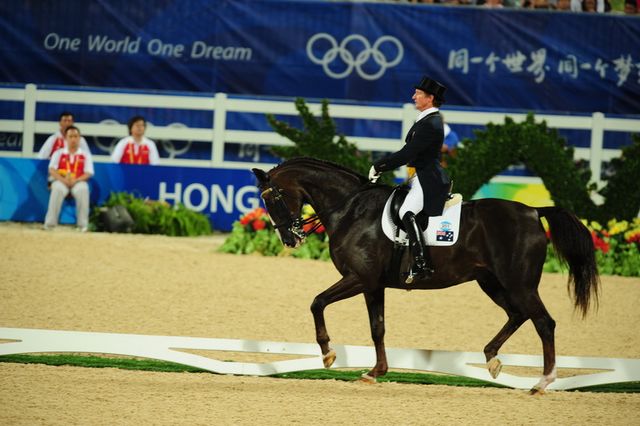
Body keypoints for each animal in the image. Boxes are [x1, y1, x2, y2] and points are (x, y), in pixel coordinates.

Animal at [252, 157, 599, 394]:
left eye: (271, 198)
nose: (290, 239)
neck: (351, 209)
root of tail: (533, 211)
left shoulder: (359, 278)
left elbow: (317, 302)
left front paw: (327, 354)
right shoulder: (373, 285)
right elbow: (377, 328)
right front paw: (375, 372)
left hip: (519, 284)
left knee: (543, 323)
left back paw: (542, 382)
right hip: (491, 282)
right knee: (517, 315)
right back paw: (492, 358)